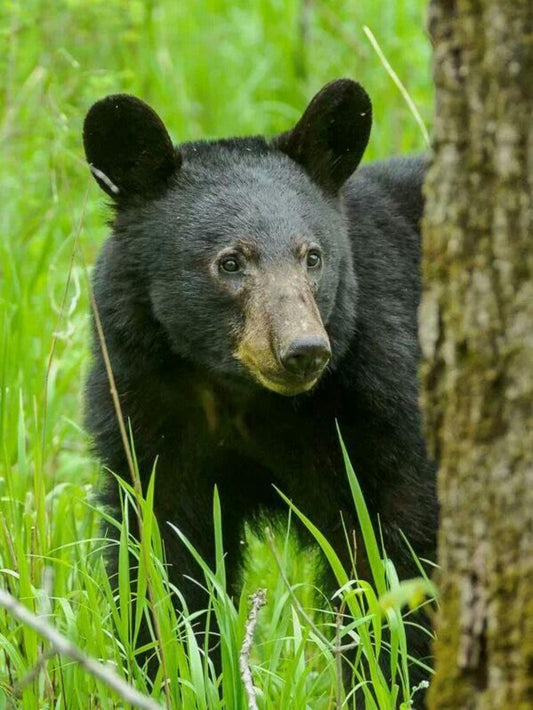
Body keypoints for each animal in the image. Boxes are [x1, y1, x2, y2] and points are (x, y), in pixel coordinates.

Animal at [83, 79, 437, 702]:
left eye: (313, 256)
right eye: (230, 262)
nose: (304, 349)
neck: (238, 392)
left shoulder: (383, 402)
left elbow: (396, 556)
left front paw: (391, 682)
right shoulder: (144, 405)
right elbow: (163, 559)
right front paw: (174, 678)